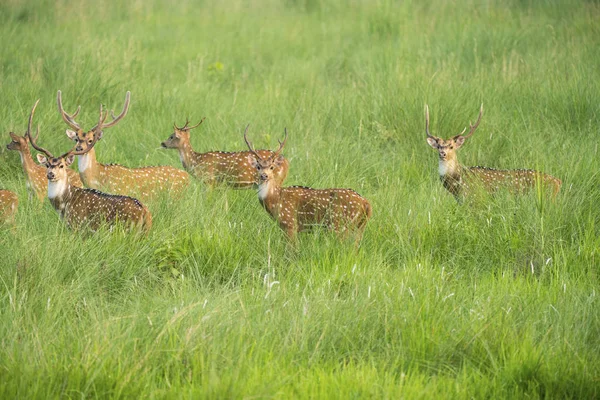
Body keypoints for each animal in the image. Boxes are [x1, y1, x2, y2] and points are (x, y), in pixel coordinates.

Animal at [30, 101, 152, 233]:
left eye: (62, 165)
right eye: (47, 164)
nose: (51, 174)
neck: (64, 204)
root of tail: (145, 213)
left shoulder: (78, 226)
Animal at [424, 104, 560, 202]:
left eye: (451, 146)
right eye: (438, 146)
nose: (442, 153)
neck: (456, 182)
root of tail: (558, 182)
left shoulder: (474, 198)